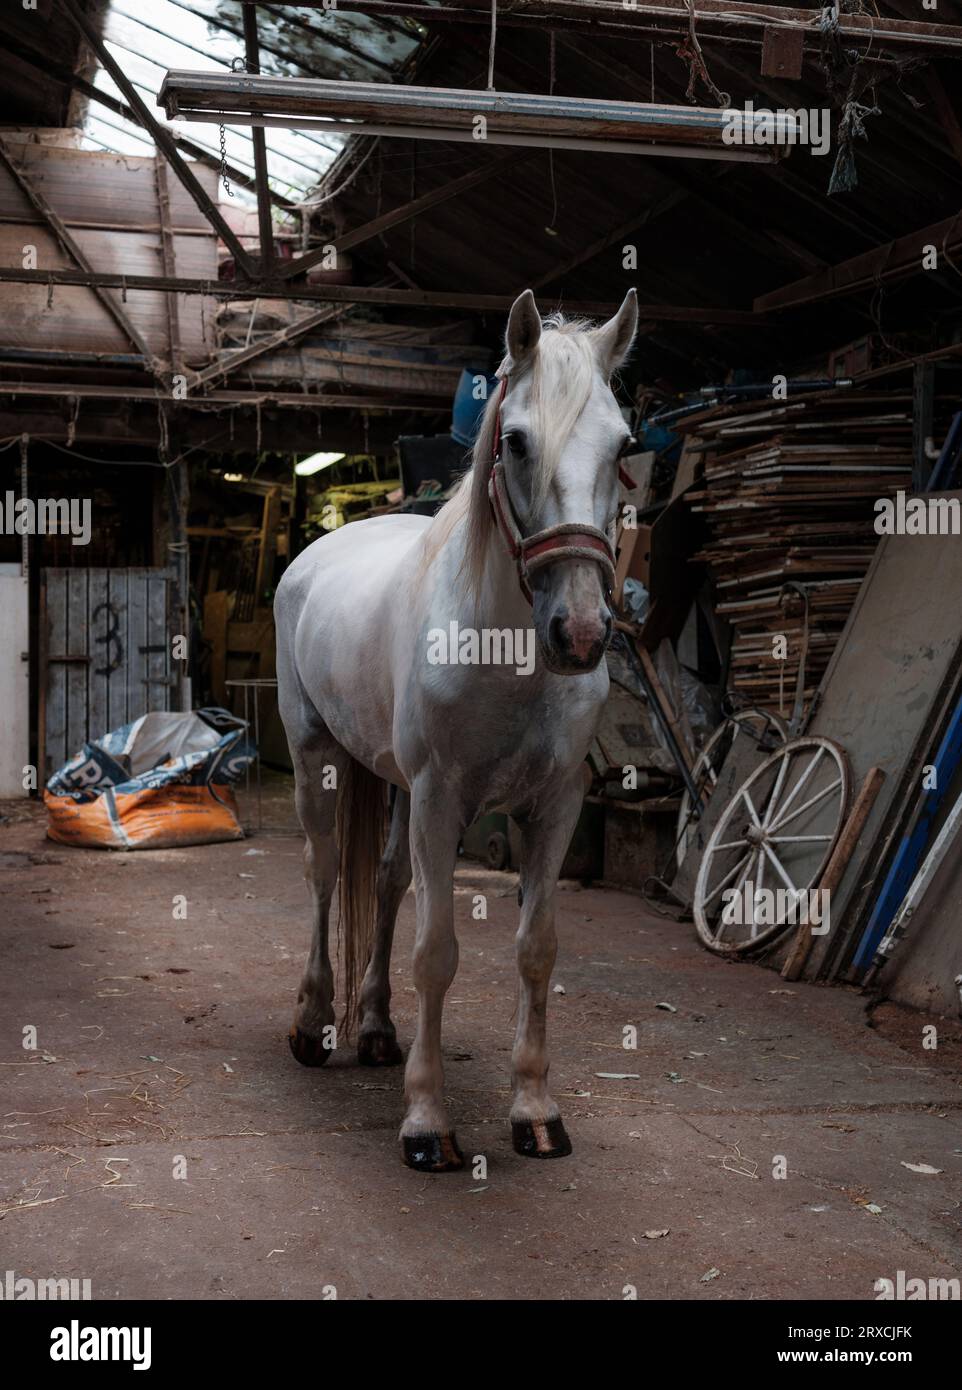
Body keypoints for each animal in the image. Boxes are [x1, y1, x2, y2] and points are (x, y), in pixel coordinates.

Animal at [274, 287, 639, 1171]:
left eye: (624, 444)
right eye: (515, 440)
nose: (581, 633)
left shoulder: (552, 807)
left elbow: (536, 950)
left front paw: (535, 1111)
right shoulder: (443, 802)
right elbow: (436, 954)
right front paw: (427, 1123)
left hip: (397, 786)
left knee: (384, 882)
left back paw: (374, 1028)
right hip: (316, 759)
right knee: (326, 874)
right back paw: (313, 1023)